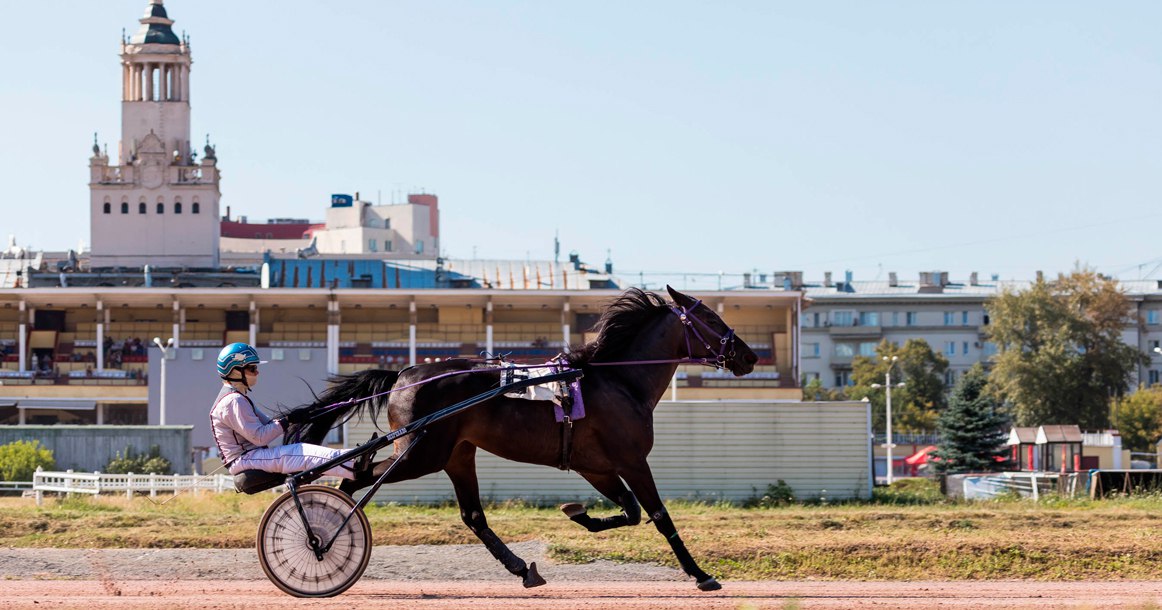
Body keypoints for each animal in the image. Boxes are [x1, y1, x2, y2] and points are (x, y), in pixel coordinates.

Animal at [277, 285, 757, 590]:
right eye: (711, 318)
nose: (749, 356)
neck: (618, 381)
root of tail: (404, 374)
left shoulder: (596, 466)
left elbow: (630, 511)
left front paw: (577, 513)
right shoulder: (632, 461)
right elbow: (658, 515)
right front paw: (701, 575)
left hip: (456, 455)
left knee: (472, 515)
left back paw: (522, 568)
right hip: (420, 454)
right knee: (354, 479)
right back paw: (321, 540)